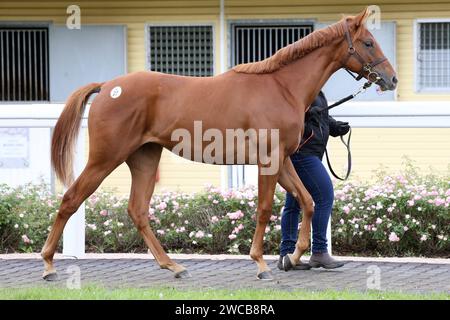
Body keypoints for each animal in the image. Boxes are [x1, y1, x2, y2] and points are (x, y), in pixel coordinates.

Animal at [40, 7, 396, 280]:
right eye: (368, 42)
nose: (391, 79)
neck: (281, 87)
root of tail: (107, 87)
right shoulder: (269, 161)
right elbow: (265, 209)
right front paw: (261, 264)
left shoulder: (283, 160)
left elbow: (307, 201)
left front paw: (293, 257)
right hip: (105, 157)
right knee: (71, 199)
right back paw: (48, 266)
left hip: (144, 158)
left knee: (137, 210)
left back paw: (173, 266)